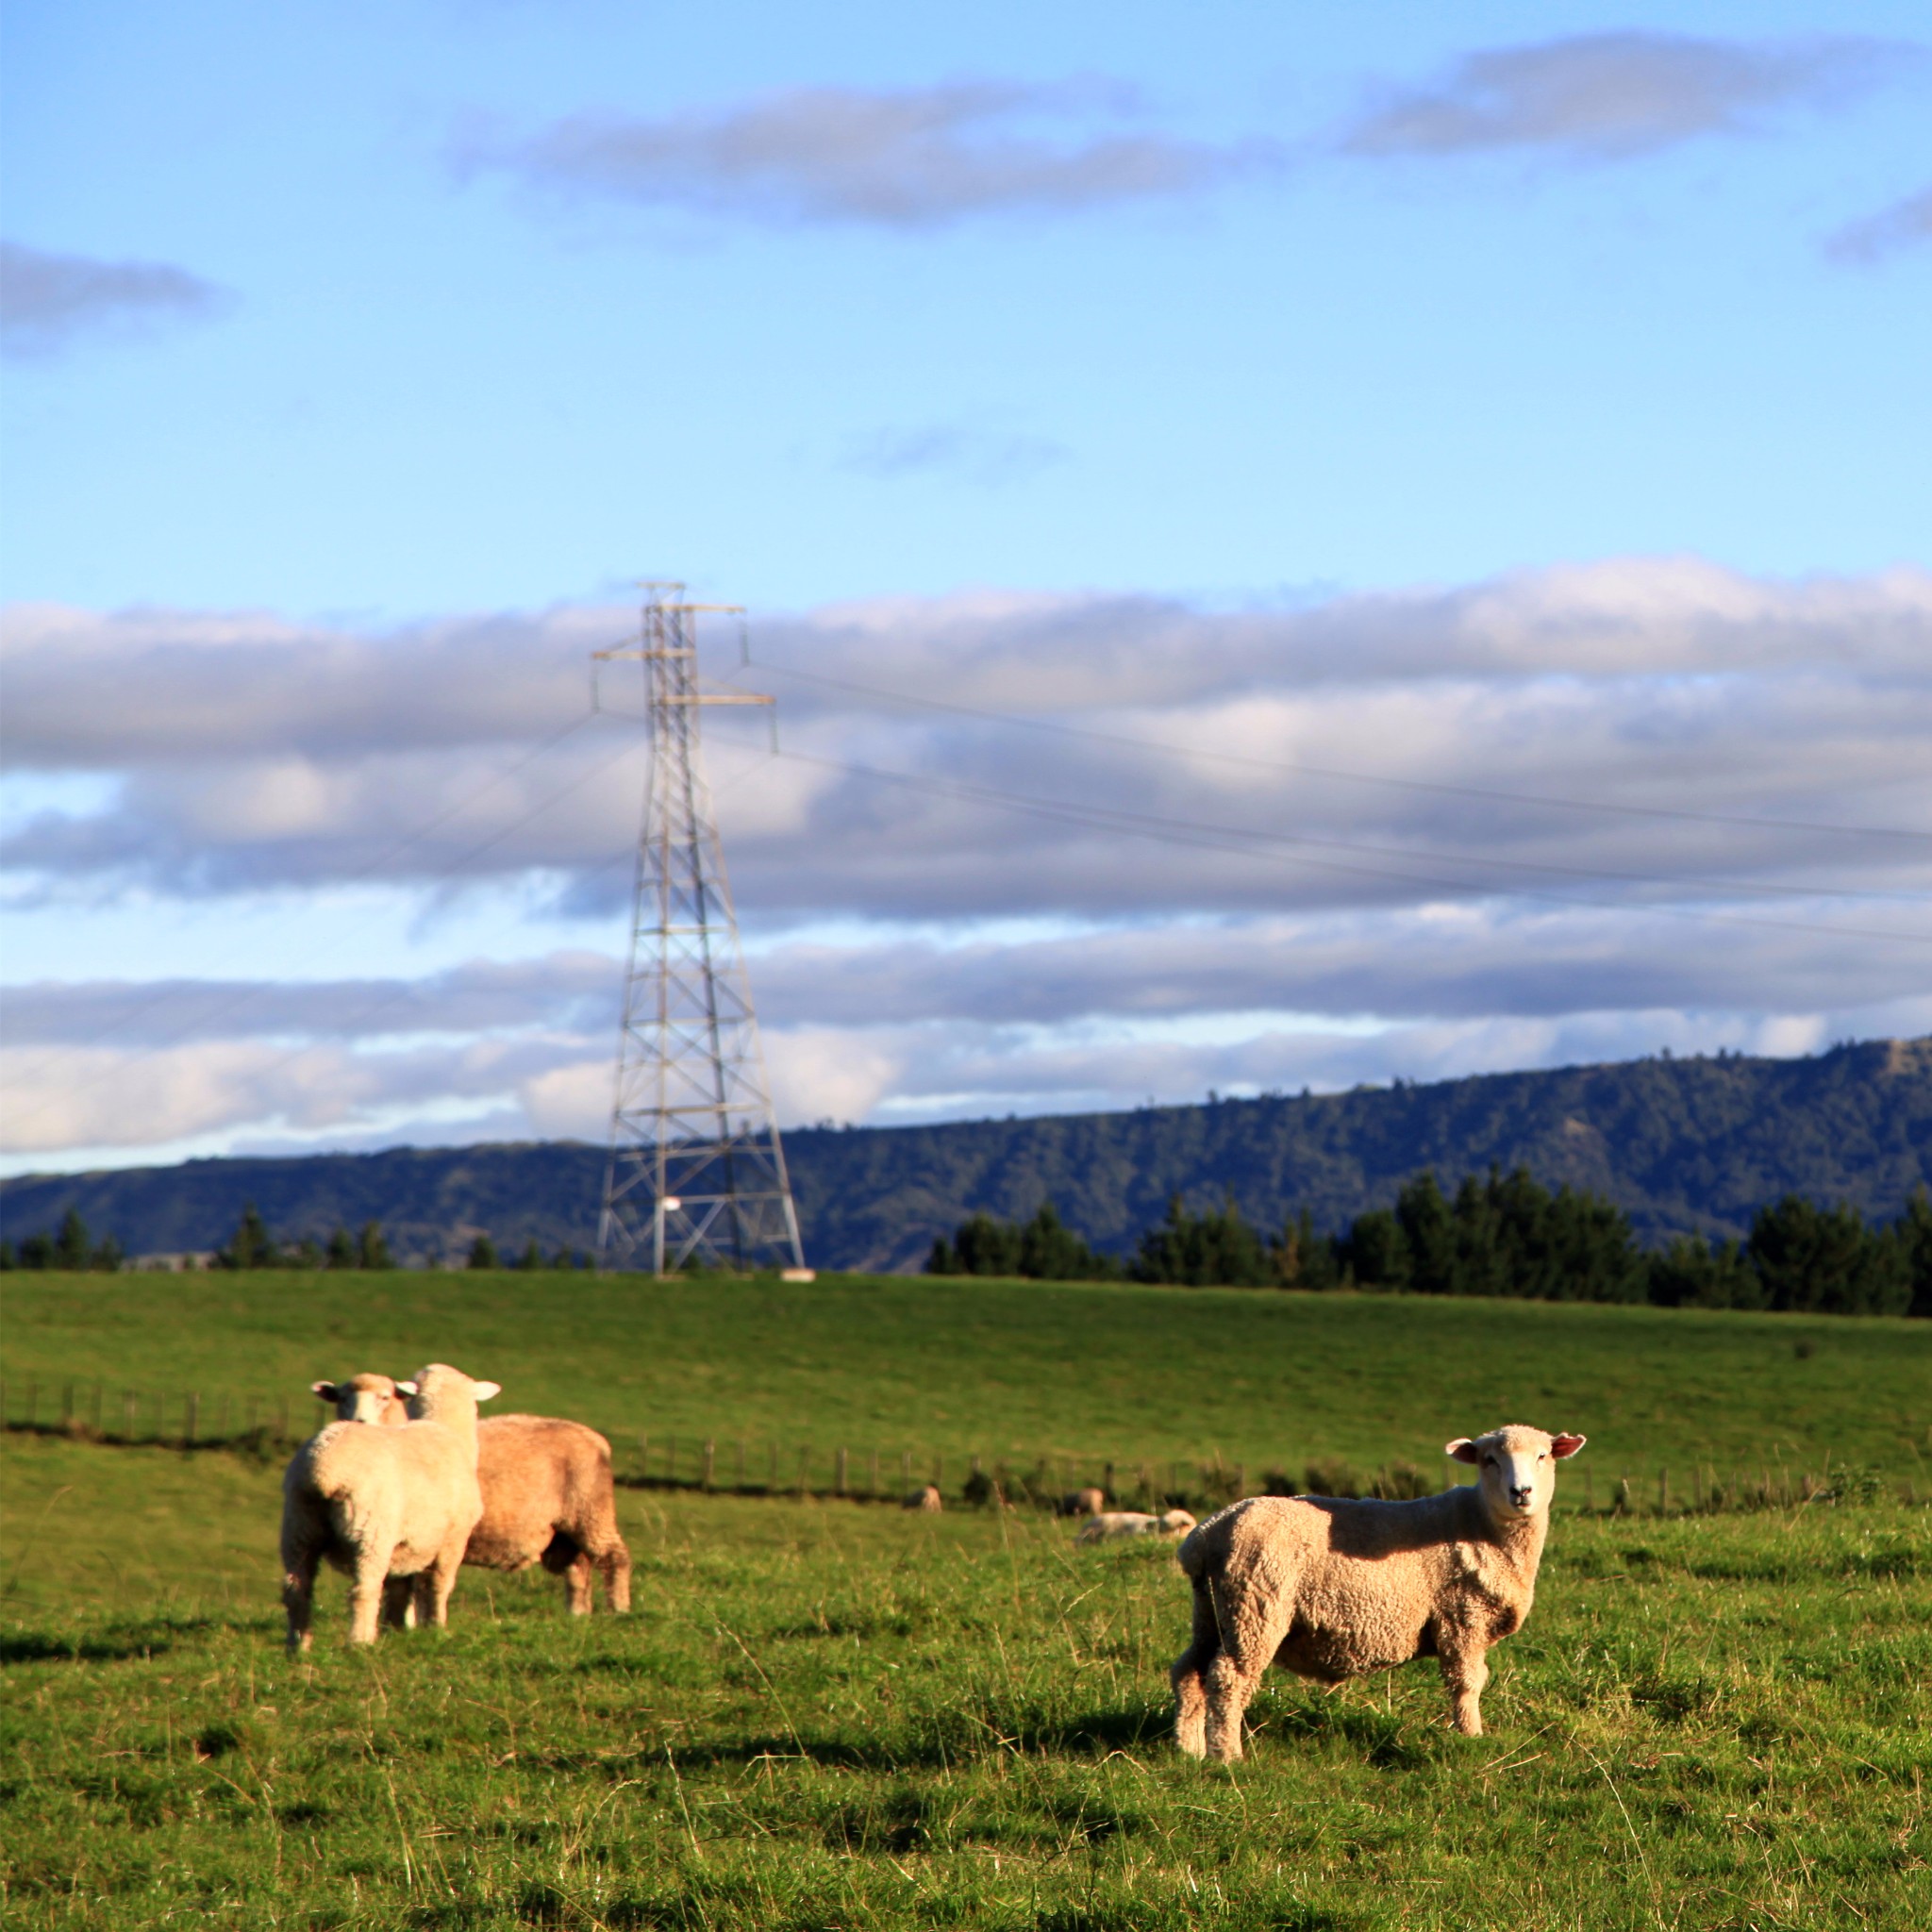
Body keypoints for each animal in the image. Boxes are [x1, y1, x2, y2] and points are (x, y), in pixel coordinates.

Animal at [282, 1359, 506, 1645]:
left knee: (297, 1590)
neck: (446, 1429)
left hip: (299, 1528)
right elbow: (439, 1585)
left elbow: (400, 1590)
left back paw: (298, 1645)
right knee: (364, 1590)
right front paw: (437, 1629)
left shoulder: (406, 1546)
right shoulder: (453, 1539)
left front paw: (395, 1629)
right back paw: (360, 1643)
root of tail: (322, 1470)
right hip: (370, 1531)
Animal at [467, 1422, 633, 1615]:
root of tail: (596, 1439)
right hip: (565, 1531)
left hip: (590, 1509)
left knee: (614, 1556)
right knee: (578, 1568)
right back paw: (577, 1614)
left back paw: (618, 1609)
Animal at [1166, 1422, 1591, 1754]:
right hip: (1255, 1606)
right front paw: (1472, 1739)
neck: (1481, 1524)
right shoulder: (1462, 1617)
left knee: (1189, 1672)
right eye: (1490, 1460)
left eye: (1543, 1456)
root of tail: (1207, 1534)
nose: (1521, 1492)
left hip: (1212, 1609)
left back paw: (1190, 1750)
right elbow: (1467, 1684)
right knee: (1228, 1677)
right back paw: (1227, 1756)